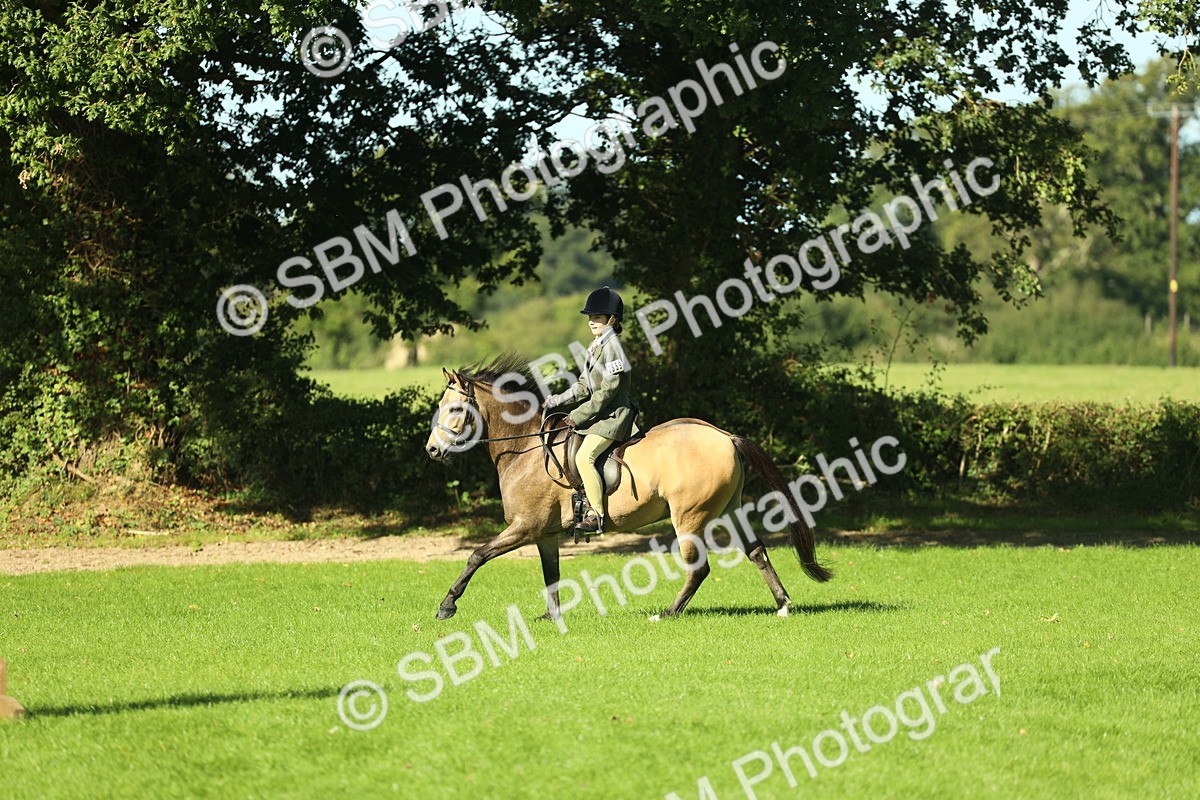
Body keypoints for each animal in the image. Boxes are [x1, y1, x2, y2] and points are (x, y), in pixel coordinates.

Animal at [424, 353, 831, 622]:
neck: (524, 447)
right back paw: (782, 605)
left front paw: (446, 606)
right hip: (728, 510)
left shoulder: (525, 527)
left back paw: (667, 613)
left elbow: (477, 556)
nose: (432, 451)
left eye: (456, 411)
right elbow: (551, 575)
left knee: (698, 569)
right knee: (757, 552)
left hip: (689, 517)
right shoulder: (545, 534)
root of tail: (724, 436)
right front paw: (552, 619)